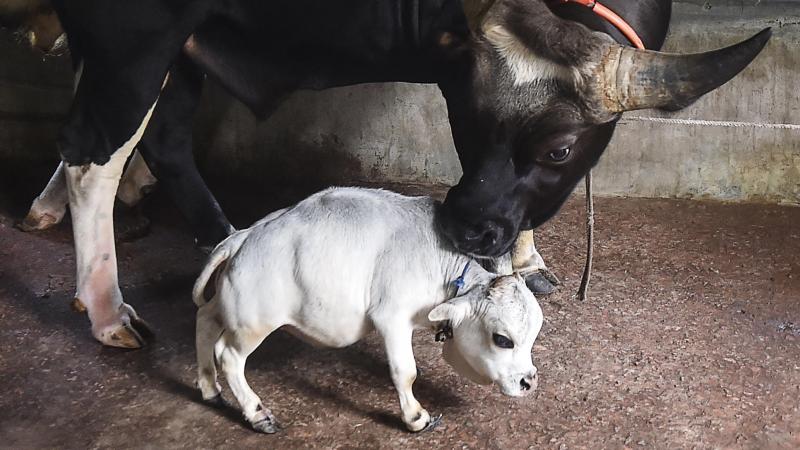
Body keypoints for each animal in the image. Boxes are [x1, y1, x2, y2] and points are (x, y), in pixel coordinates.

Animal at [6, 0, 769, 348]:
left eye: (559, 150)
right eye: (465, 118)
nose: (466, 228)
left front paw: (527, 256)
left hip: (179, 50)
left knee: (160, 141)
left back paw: (217, 235)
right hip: (135, 43)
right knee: (92, 152)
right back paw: (107, 308)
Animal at [192, 187, 544, 433]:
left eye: (532, 337)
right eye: (502, 339)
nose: (529, 382)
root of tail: (242, 237)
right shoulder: (392, 317)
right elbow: (405, 371)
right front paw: (415, 417)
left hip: (227, 306)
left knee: (205, 321)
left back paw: (210, 388)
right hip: (253, 322)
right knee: (229, 356)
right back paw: (257, 414)